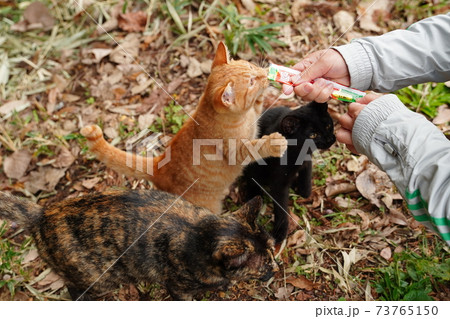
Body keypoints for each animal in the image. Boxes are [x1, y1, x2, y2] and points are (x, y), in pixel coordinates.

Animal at [0, 191, 278, 302]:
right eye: (263, 264)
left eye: (273, 251)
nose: (276, 269)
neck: (199, 233)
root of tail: (43, 213)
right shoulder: (178, 288)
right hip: (98, 278)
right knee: (74, 287)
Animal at [81, 41, 286, 214]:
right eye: (251, 81)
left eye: (251, 66)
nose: (263, 73)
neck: (242, 117)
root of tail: (159, 166)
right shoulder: (236, 152)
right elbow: (255, 147)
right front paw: (274, 143)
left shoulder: (255, 114)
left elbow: (258, 105)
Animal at [243, 102, 334, 242]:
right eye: (313, 135)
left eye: (328, 126)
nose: (330, 139)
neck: (298, 151)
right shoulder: (279, 183)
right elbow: (281, 208)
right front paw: (281, 231)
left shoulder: (307, 159)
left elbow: (306, 174)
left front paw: (304, 191)